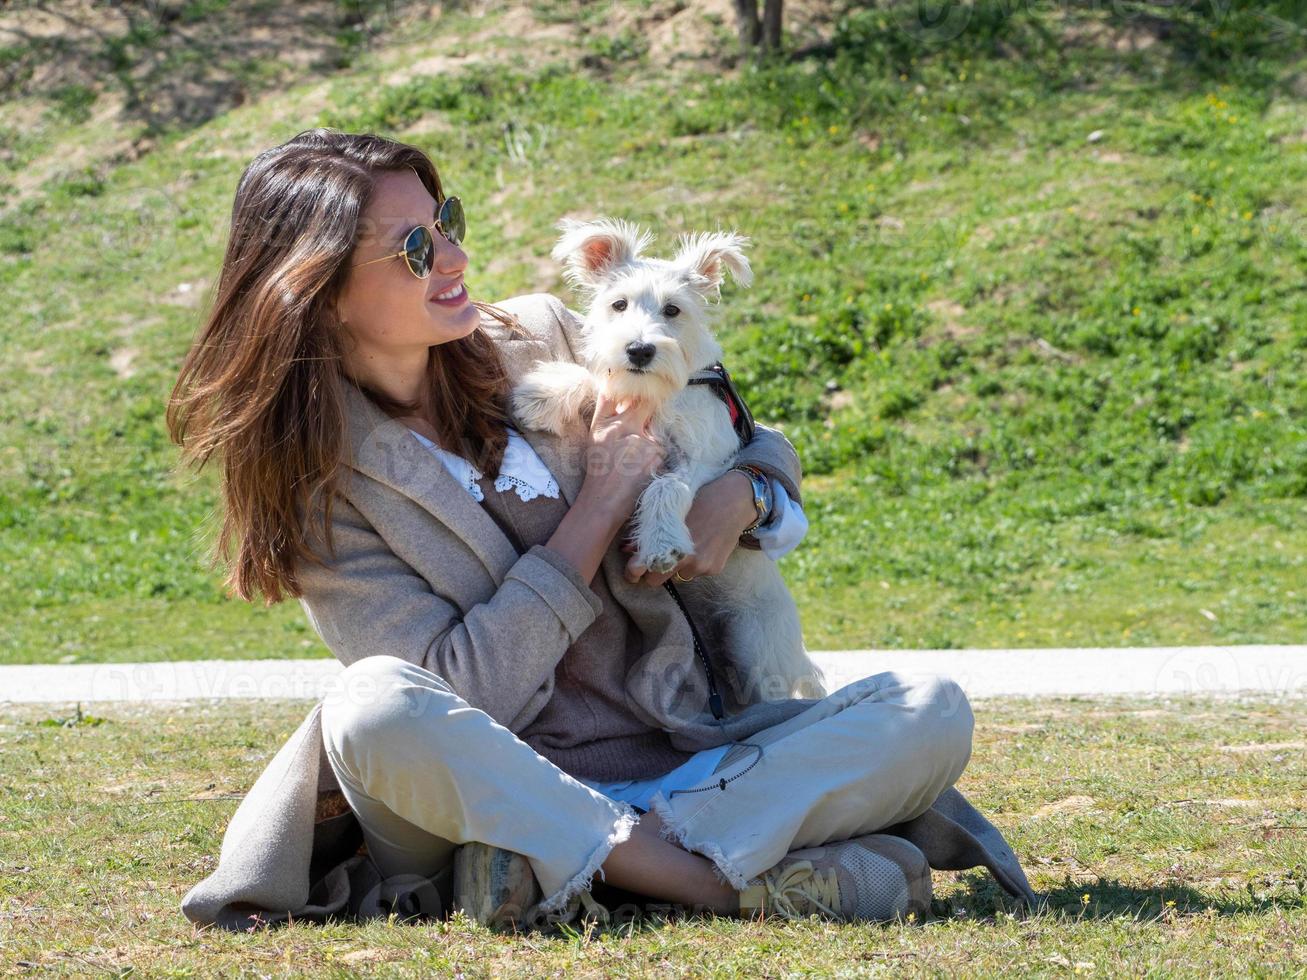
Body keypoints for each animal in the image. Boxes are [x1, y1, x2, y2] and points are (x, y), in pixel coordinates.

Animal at [504, 216, 820, 705]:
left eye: (673, 310)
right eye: (618, 304)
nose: (639, 350)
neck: (661, 393)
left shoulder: (702, 457)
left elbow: (666, 486)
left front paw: (659, 544)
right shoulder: (623, 395)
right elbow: (596, 380)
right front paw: (542, 396)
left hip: (755, 648)